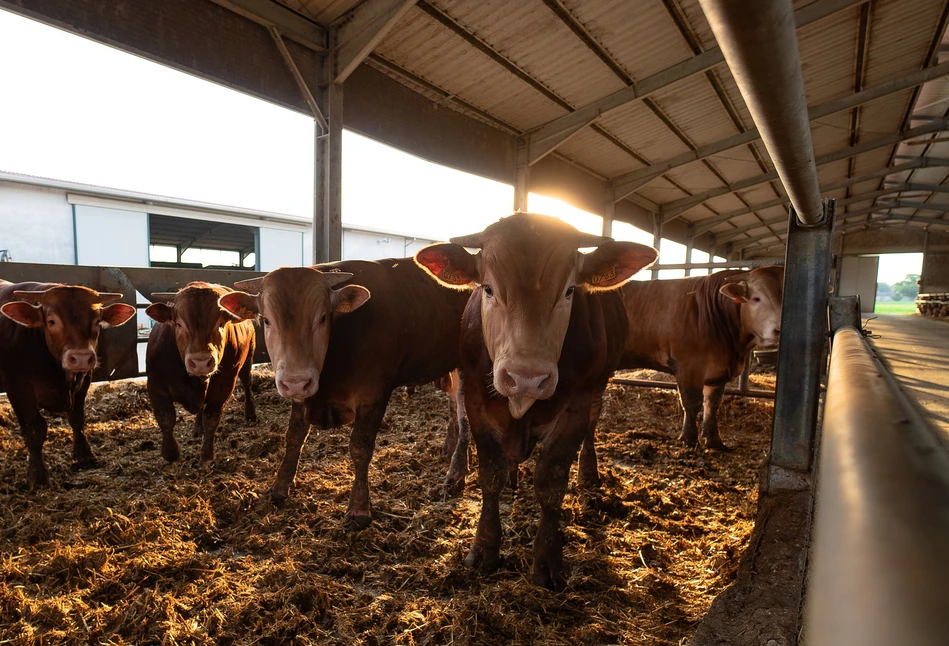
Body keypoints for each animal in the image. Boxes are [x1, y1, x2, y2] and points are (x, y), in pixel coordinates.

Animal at [0, 280, 137, 488]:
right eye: (51, 321)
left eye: (97, 321)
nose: (80, 357)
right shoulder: (18, 387)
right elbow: (34, 428)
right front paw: (37, 475)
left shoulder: (85, 378)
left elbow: (77, 418)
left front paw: (84, 456)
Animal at [144, 284, 258, 466]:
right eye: (178, 324)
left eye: (221, 323)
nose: (201, 362)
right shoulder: (156, 383)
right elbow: (166, 418)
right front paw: (171, 452)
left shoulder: (225, 384)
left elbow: (211, 418)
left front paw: (207, 454)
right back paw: (198, 428)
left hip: (248, 360)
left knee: (247, 384)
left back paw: (250, 413)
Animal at [219, 260, 470, 528]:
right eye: (266, 320)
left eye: (322, 318)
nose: (296, 383)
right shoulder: (305, 394)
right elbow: (294, 437)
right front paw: (279, 487)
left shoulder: (373, 395)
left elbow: (360, 448)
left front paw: (359, 508)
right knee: (454, 406)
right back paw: (449, 447)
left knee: (464, 415)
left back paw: (457, 471)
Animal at [414, 214, 660, 592]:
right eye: (488, 289)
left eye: (570, 291)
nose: (526, 377)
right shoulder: (476, 398)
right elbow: (491, 475)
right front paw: (484, 549)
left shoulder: (576, 405)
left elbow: (551, 482)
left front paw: (547, 561)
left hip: (600, 385)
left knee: (592, 428)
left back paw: (589, 473)